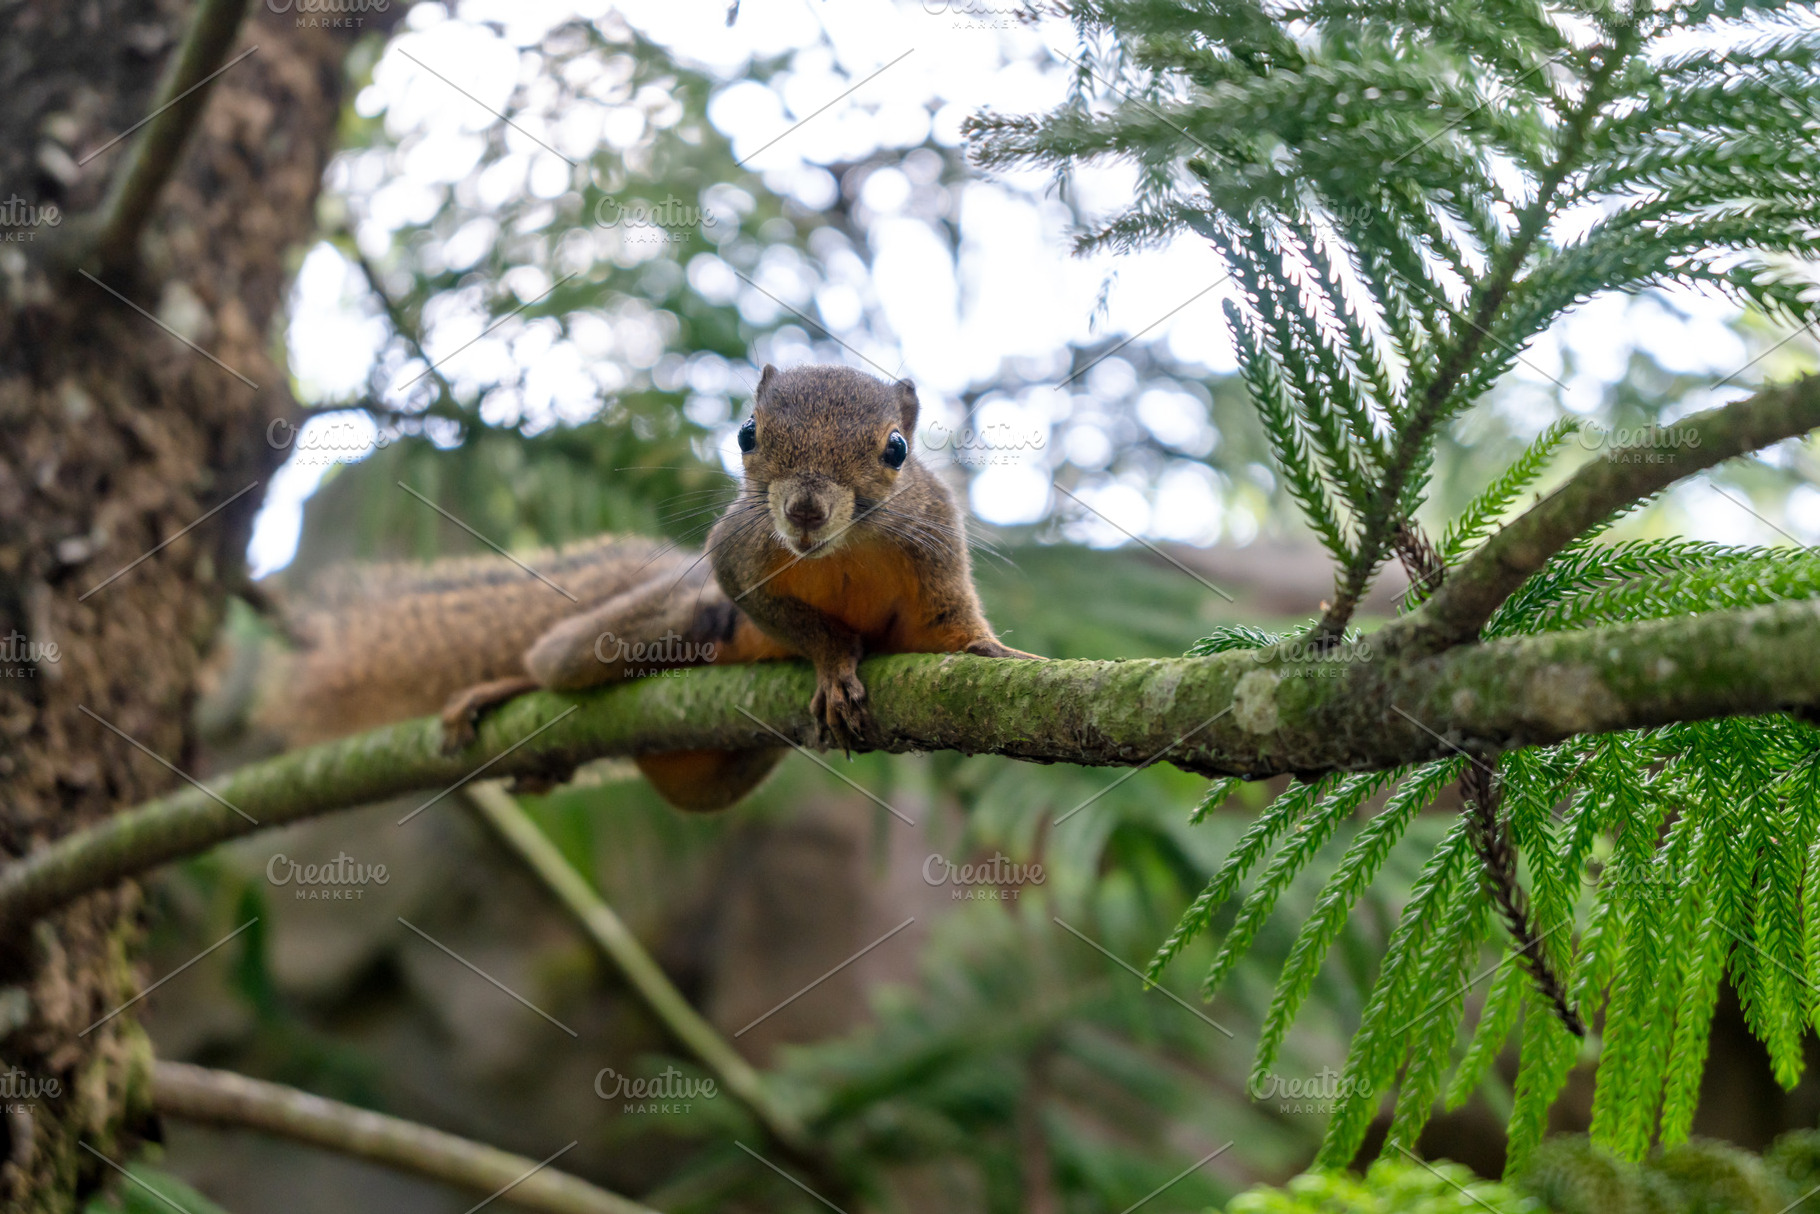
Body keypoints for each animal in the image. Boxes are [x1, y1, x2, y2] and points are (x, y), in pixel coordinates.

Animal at [274, 363, 1037, 811]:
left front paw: (1002, 654)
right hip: (667, 623)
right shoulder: (734, 554)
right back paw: (502, 688)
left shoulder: (934, 542)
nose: (804, 511)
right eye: (747, 433)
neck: (841, 550)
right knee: (555, 658)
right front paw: (832, 659)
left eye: (896, 449)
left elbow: (951, 624)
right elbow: (782, 612)